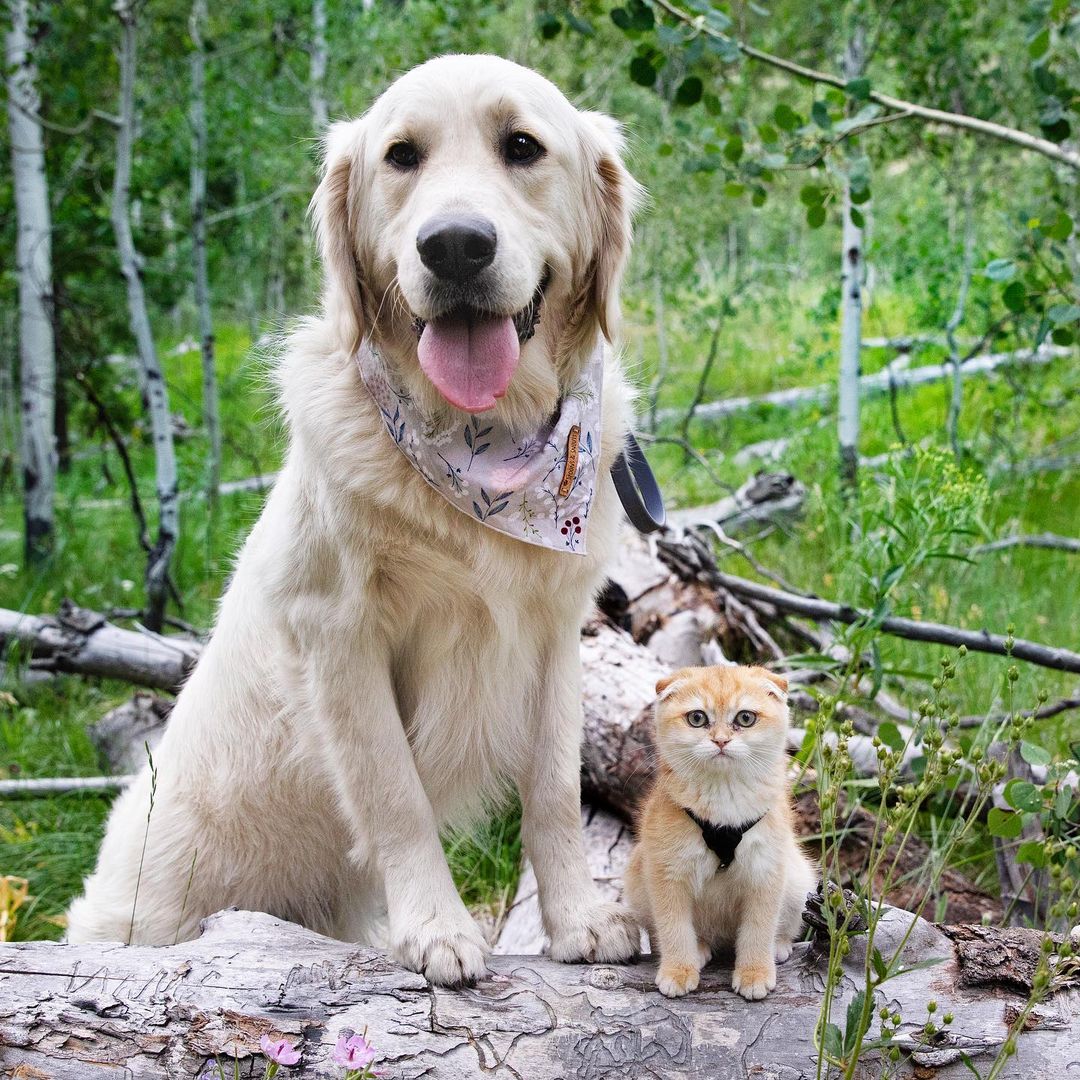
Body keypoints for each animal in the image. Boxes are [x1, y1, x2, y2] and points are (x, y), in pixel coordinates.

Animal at [67, 56, 643, 989]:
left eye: (522, 146)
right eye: (401, 156)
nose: (454, 246)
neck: (480, 449)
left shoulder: (555, 633)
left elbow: (555, 789)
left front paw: (581, 921)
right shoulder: (339, 634)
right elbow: (393, 794)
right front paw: (437, 929)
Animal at [622, 660, 812, 997]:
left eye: (745, 718)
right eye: (697, 718)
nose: (721, 740)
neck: (724, 799)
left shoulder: (765, 873)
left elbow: (758, 929)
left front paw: (754, 973)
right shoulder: (667, 875)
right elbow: (674, 929)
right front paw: (677, 970)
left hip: (798, 881)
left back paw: (778, 946)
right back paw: (698, 948)